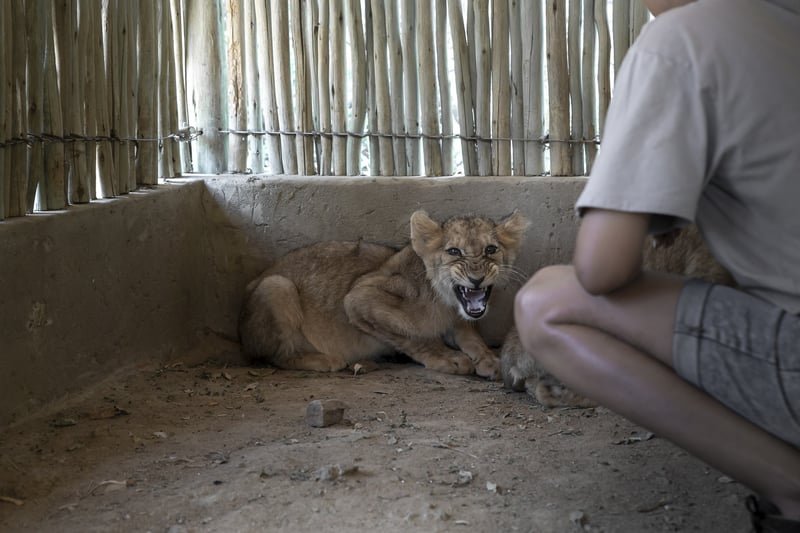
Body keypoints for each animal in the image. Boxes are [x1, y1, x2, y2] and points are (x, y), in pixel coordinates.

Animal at [238, 210, 530, 380]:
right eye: (454, 252)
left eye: (491, 249)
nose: (476, 278)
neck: (446, 302)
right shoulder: (359, 298)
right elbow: (415, 337)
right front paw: (449, 358)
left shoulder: (459, 320)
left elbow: (472, 338)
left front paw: (489, 359)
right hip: (276, 286)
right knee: (274, 356)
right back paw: (324, 359)